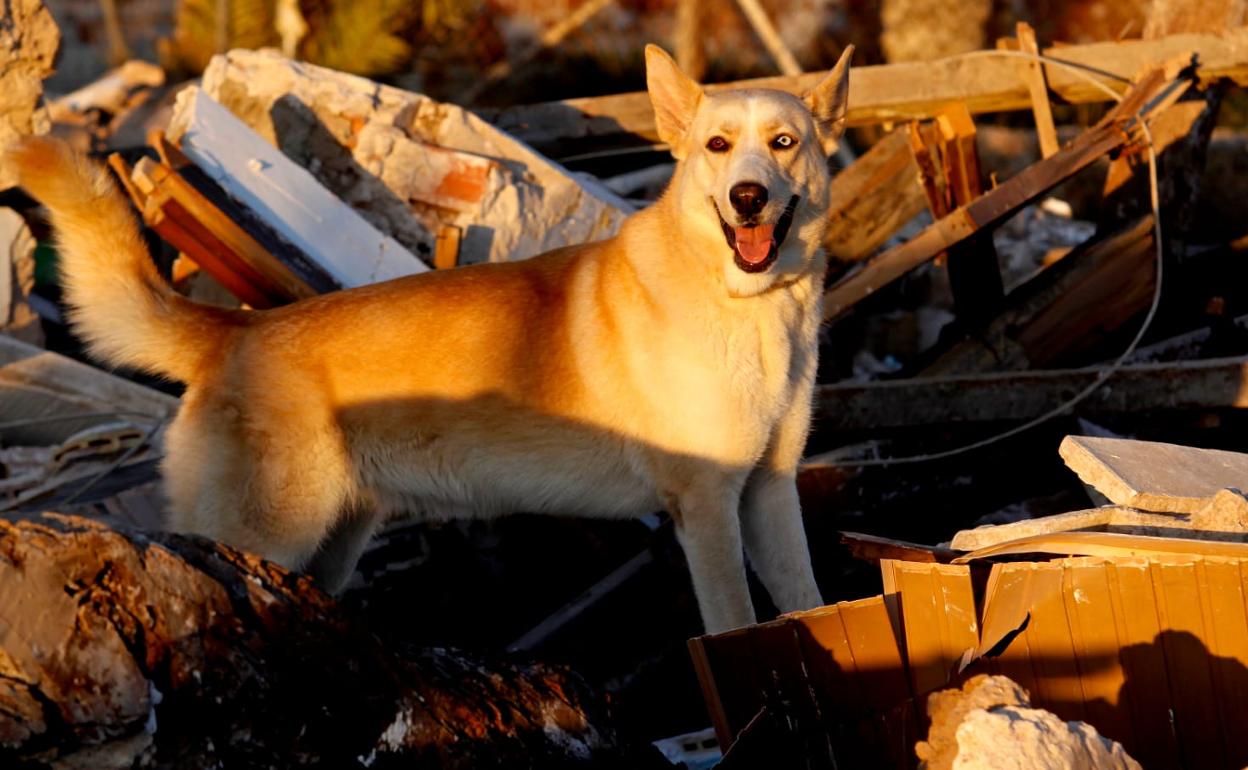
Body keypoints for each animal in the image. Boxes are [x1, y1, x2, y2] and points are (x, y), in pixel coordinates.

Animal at [7, 44, 848, 631]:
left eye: (782, 143)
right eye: (717, 146)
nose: (748, 197)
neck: (751, 309)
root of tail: (234, 332)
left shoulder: (768, 494)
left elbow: (806, 603)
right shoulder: (704, 507)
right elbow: (736, 626)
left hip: (329, 545)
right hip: (269, 536)